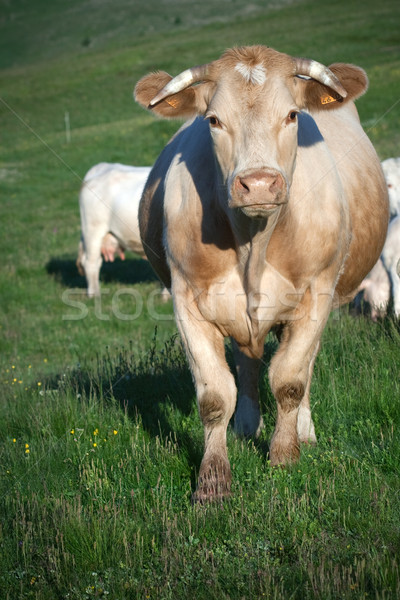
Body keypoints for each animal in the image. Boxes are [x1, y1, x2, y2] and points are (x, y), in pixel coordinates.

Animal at [134, 45, 388, 502]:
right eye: (213, 120)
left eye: (291, 115)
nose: (258, 183)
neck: (253, 244)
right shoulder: (187, 301)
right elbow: (215, 395)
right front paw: (213, 481)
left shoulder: (317, 294)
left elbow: (289, 379)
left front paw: (285, 455)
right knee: (247, 362)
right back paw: (247, 426)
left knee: (304, 366)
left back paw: (303, 430)